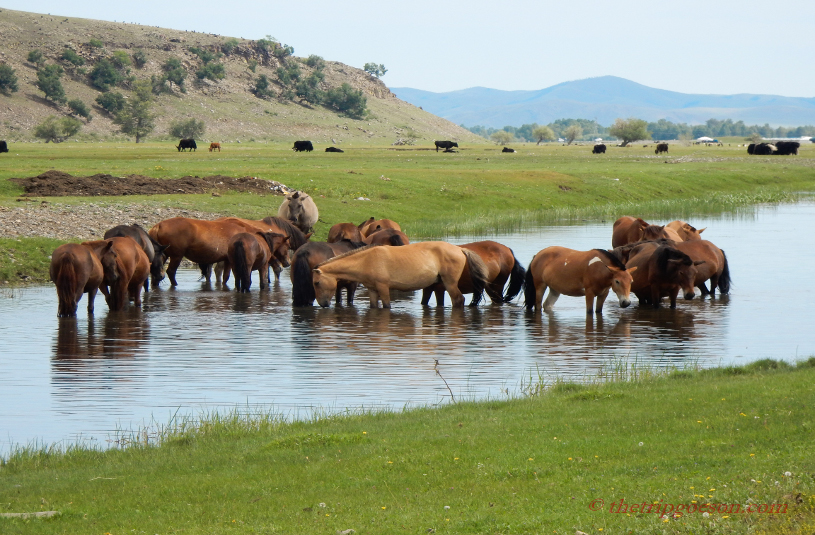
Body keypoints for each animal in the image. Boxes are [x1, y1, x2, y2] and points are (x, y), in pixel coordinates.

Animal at [312, 241, 490, 308]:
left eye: (316, 283)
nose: (322, 304)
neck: (366, 260)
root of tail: (459, 249)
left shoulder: (383, 288)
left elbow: (386, 306)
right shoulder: (372, 290)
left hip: (450, 283)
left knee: (458, 300)